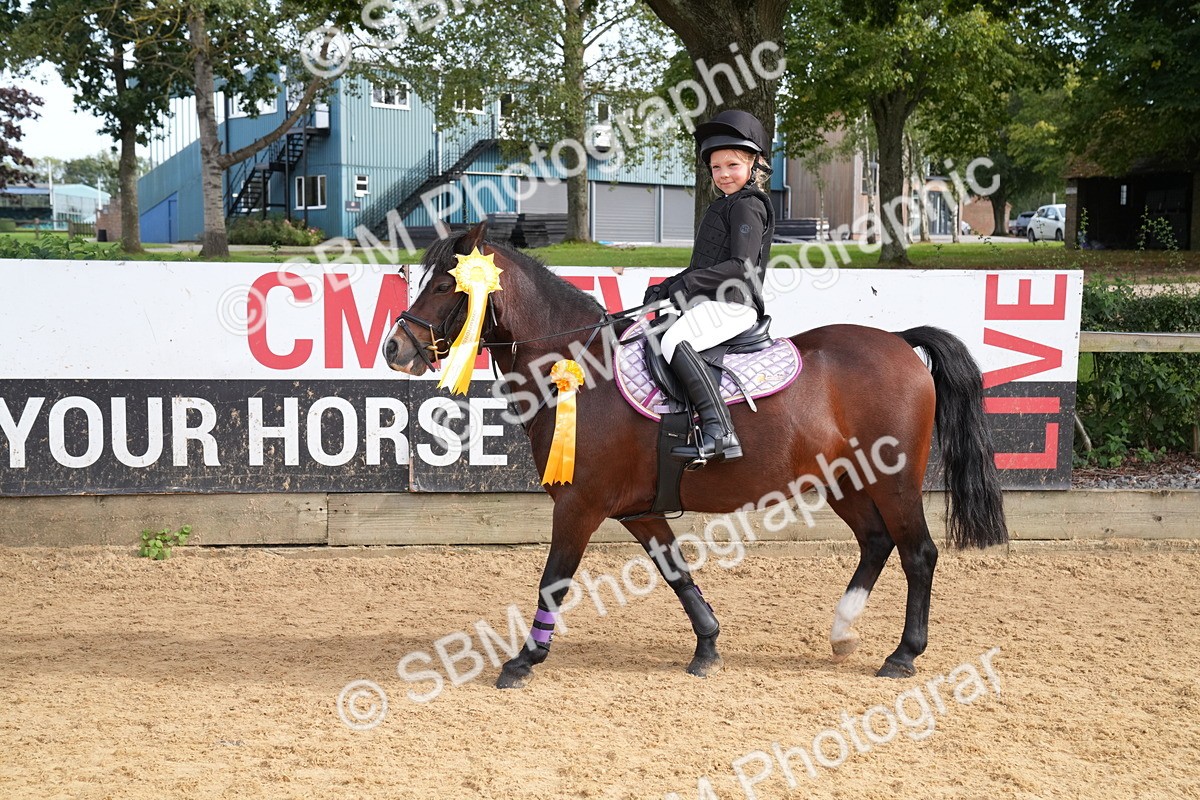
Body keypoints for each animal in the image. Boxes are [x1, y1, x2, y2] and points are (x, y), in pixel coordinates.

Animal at [384, 222, 1007, 689]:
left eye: (445, 286)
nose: (395, 348)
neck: (578, 366)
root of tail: (899, 341)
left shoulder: (579, 505)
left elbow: (553, 580)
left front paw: (522, 660)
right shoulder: (638, 510)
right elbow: (676, 572)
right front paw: (707, 646)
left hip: (892, 479)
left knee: (918, 553)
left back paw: (903, 654)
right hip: (845, 480)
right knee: (877, 542)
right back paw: (842, 631)